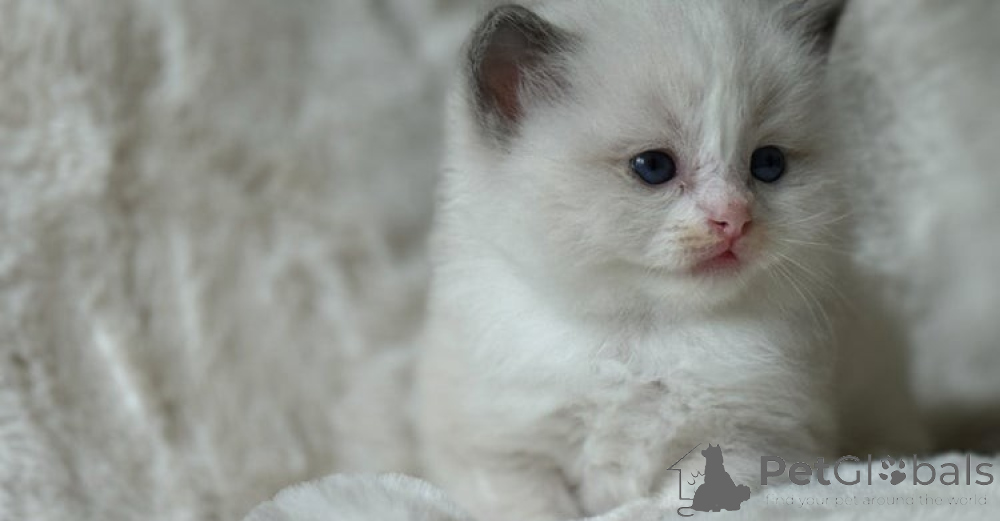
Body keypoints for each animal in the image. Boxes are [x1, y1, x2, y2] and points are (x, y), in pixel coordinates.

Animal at [416, 1, 917, 520]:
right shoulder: (501, 453)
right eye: (654, 167)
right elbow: (534, 506)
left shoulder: (754, 441)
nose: (733, 219)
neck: (642, 337)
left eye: (768, 164)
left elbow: (681, 499)